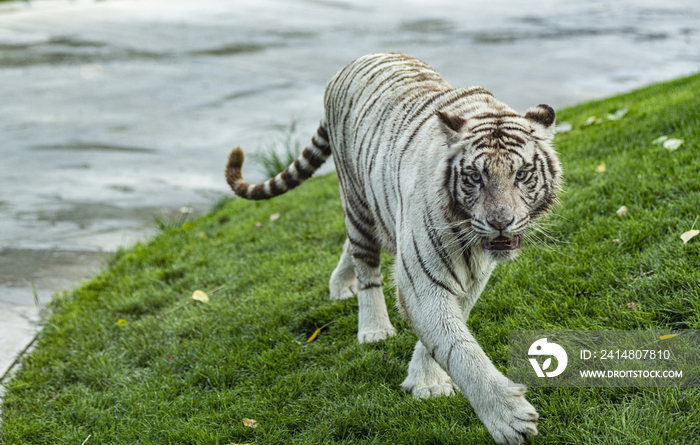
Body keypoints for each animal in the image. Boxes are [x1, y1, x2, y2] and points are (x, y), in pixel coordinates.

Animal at [226, 53, 564, 444]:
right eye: (474, 177)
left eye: (521, 175)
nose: (500, 222)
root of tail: (352, 62)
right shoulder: (422, 278)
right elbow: (457, 346)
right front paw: (507, 417)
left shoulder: (474, 274)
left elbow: (449, 327)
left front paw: (425, 381)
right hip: (355, 199)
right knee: (365, 264)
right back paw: (373, 327)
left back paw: (340, 285)